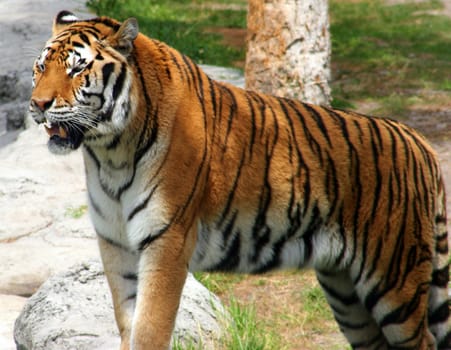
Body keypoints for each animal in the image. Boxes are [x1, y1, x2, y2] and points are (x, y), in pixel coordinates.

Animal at [29, 10, 451, 350]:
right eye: (40, 68)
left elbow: (149, 330)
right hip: (346, 293)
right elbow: (126, 323)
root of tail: (420, 142)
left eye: (76, 69)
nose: (37, 104)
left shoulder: (167, 241)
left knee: (423, 340)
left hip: (394, 281)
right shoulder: (115, 242)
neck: (110, 153)